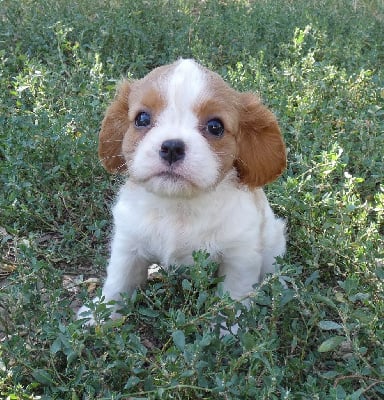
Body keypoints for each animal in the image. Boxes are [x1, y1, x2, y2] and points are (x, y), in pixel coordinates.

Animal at [77, 59, 284, 326]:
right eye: (142, 118)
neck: (178, 206)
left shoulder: (239, 257)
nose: (172, 147)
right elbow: (117, 282)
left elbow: (231, 299)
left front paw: (227, 328)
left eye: (215, 126)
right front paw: (100, 316)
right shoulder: (128, 244)